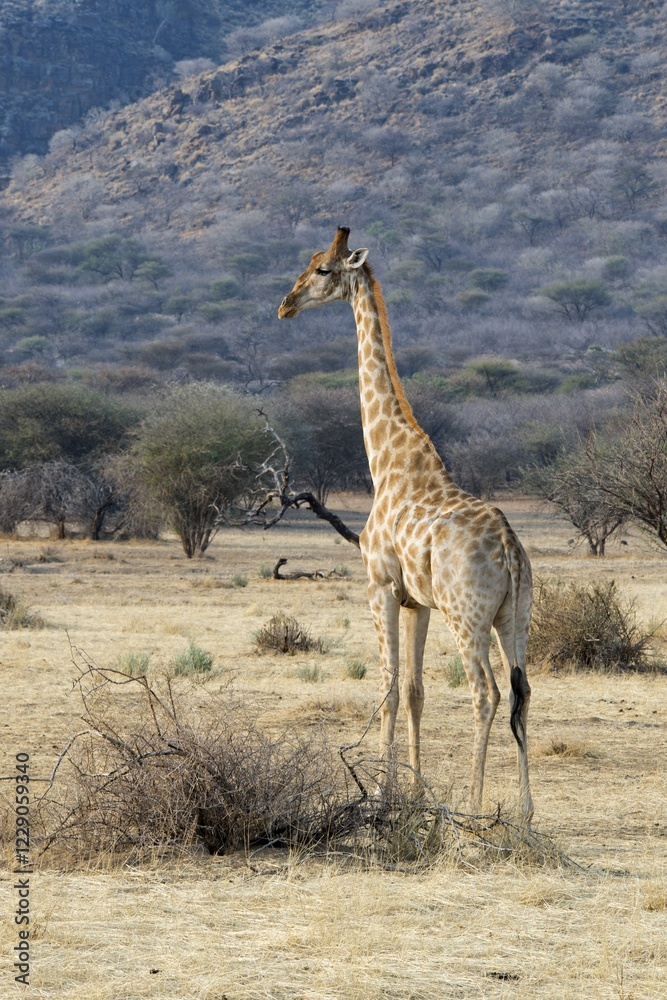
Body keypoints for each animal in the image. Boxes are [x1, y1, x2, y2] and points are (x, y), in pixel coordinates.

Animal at [278, 227, 533, 820]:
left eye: (322, 270)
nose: (286, 305)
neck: (388, 463)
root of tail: (510, 548)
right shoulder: (417, 601)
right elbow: (417, 692)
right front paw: (414, 791)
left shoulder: (380, 587)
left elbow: (390, 690)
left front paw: (382, 793)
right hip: (515, 617)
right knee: (522, 693)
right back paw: (528, 812)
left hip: (468, 616)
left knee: (485, 693)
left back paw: (474, 805)